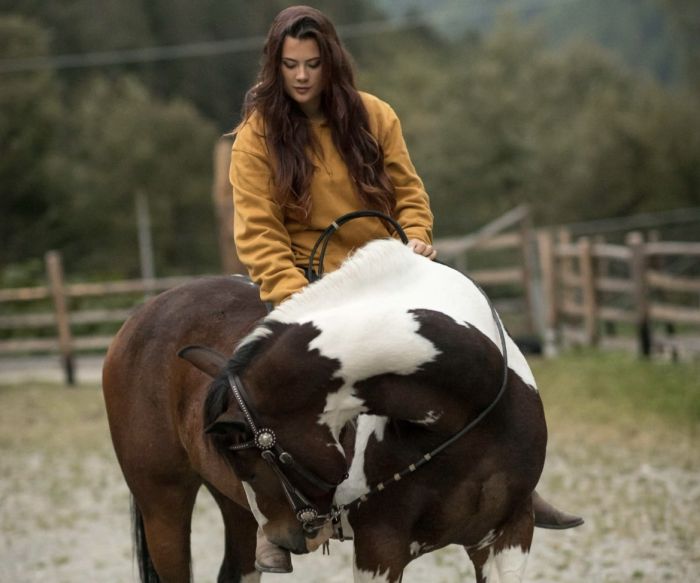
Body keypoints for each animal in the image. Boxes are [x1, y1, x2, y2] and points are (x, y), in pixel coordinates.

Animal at [102, 240, 548, 580]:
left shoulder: (509, 537)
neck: (468, 416)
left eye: (248, 462)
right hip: (163, 503)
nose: (284, 539)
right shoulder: (380, 547)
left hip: (234, 510)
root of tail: (141, 315)